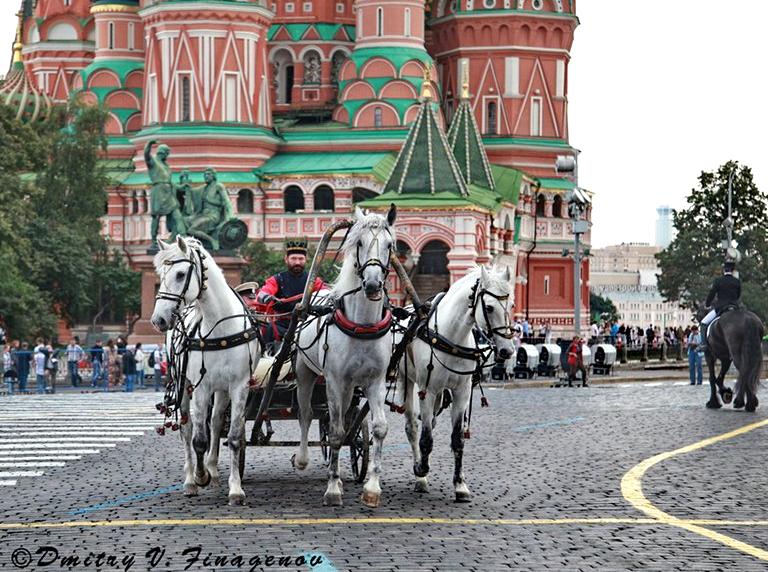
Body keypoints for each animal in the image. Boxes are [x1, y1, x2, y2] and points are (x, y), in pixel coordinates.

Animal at [150, 237, 260, 504]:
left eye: (180, 274)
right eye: (161, 275)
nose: (158, 320)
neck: (220, 328)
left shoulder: (239, 386)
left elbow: (234, 437)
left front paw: (235, 489)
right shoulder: (201, 387)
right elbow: (198, 439)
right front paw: (200, 477)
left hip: (221, 391)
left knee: (216, 421)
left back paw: (213, 469)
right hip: (183, 385)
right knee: (188, 427)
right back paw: (191, 479)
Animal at [292, 207, 396, 510]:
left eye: (390, 245)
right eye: (359, 242)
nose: (372, 285)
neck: (362, 325)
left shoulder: (375, 382)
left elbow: (379, 428)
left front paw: (372, 488)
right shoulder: (335, 380)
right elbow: (336, 432)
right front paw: (332, 489)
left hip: (351, 386)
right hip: (306, 373)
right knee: (306, 414)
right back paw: (304, 459)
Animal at [396, 264, 516, 500]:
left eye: (512, 305)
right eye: (489, 308)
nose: (507, 350)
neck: (450, 337)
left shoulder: (461, 392)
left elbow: (457, 439)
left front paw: (460, 484)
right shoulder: (427, 390)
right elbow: (426, 438)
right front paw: (421, 469)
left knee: (429, 422)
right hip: (406, 381)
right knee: (412, 427)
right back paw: (420, 475)